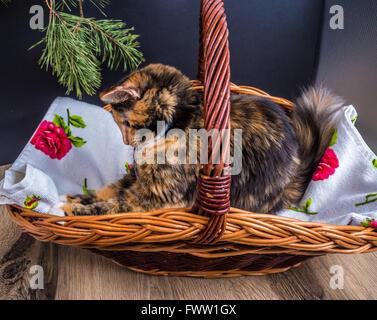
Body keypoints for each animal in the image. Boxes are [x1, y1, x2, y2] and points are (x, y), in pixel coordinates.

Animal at [61, 63, 344, 216]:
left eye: (126, 123)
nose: (127, 143)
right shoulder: (135, 179)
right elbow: (108, 189)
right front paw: (77, 198)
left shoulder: (154, 197)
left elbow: (114, 206)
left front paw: (76, 211)